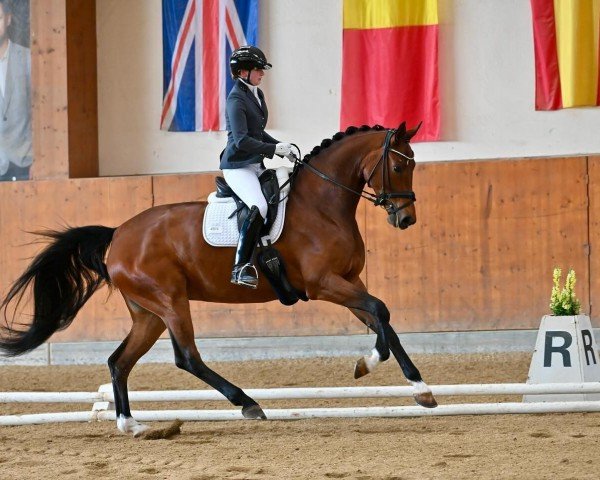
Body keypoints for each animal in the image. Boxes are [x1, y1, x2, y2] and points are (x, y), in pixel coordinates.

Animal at [2, 122, 438, 436]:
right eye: (398, 166)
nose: (406, 219)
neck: (322, 204)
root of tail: (118, 234)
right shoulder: (324, 284)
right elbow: (380, 312)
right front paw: (369, 364)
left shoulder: (349, 282)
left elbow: (382, 319)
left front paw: (419, 388)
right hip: (170, 302)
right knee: (187, 357)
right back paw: (247, 403)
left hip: (148, 313)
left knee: (119, 361)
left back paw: (132, 424)